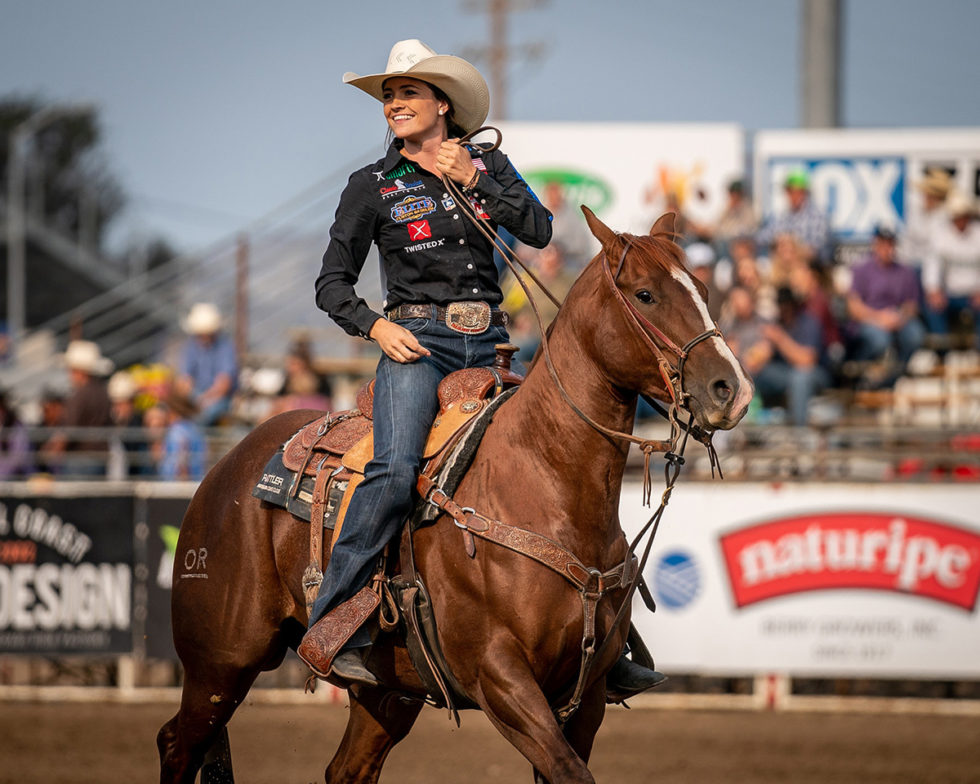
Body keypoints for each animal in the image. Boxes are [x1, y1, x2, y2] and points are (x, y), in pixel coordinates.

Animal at [157, 210, 752, 784]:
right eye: (645, 294)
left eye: (703, 286)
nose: (733, 389)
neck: (543, 483)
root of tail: (226, 466)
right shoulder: (500, 679)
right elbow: (569, 771)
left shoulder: (584, 699)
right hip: (221, 663)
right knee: (177, 744)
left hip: (386, 691)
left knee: (346, 769)